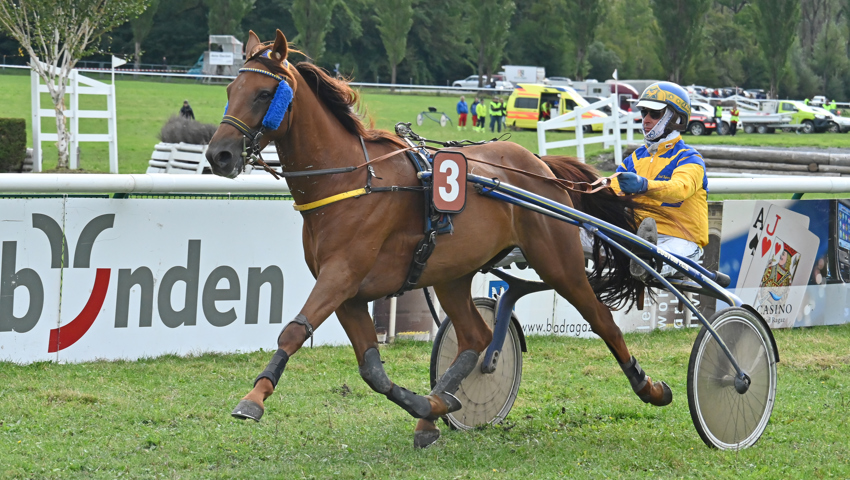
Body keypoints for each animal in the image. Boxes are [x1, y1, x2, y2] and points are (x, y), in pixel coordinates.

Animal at [205, 31, 668, 450]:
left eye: (264, 93)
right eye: (229, 89)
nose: (218, 155)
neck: (352, 180)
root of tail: (540, 166)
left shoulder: (341, 275)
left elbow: (293, 331)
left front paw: (253, 398)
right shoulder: (350, 294)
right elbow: (371, 370)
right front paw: (426, 407)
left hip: (558, 263)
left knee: (601, 320)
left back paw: (649, 386)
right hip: (451, 274)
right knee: (477, 338)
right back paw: (437, 406)